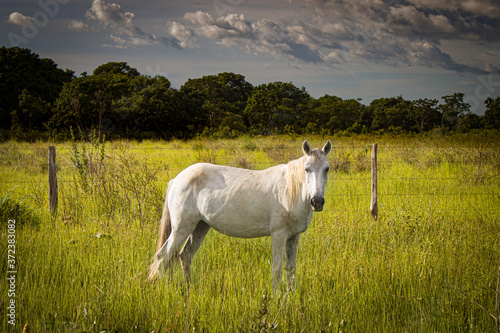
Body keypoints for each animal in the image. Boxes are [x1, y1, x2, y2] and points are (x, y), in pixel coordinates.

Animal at [146, 139, 330, 290]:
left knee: (185, 255)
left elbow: (291, 270)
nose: (317, 202)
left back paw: (189, 289)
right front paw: (275, 301)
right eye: (307, 169)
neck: (290, 190)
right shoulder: (279, 235)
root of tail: (176, 180)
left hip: (200, 227)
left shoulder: (294, 237)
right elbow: (277, 270)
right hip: (181, 228)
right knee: (162, 257)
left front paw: (288, 301)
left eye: (327, 169)